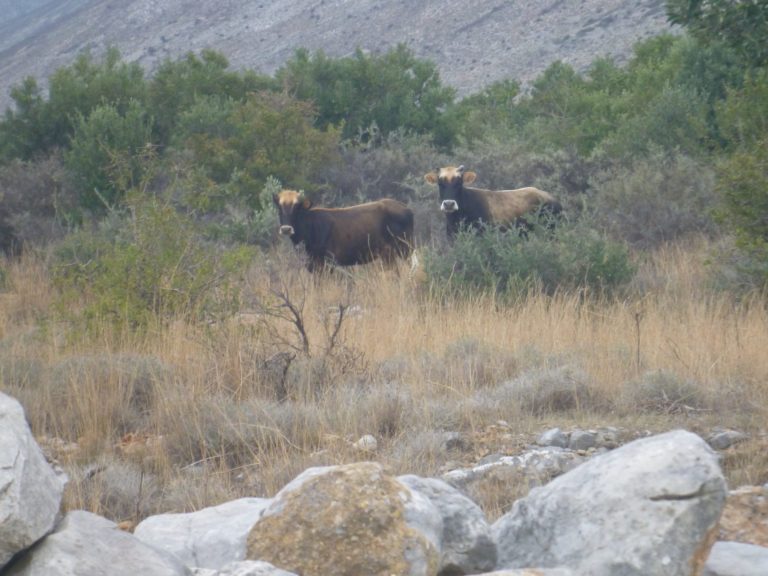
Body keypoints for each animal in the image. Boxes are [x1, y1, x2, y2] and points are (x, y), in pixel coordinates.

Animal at [272, 189, 414, 270]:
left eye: (297, 207)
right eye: (279, 208)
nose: (286, 229)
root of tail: (405, 207)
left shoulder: (328, 263)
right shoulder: (312, 265)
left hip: (405, 250)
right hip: (389, 255)